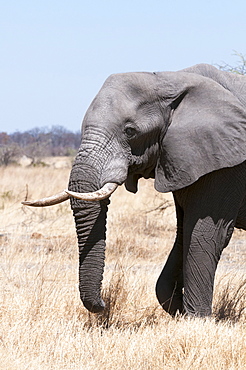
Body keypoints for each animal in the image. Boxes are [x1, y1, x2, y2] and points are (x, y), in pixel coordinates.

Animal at [22, 64, 246, 318]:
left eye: (130, 131)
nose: (104, 304)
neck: (171, 79)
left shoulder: (227, 163)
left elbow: (206, 233)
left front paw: (197, 320)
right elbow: (183, 233)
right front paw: (180, 311)